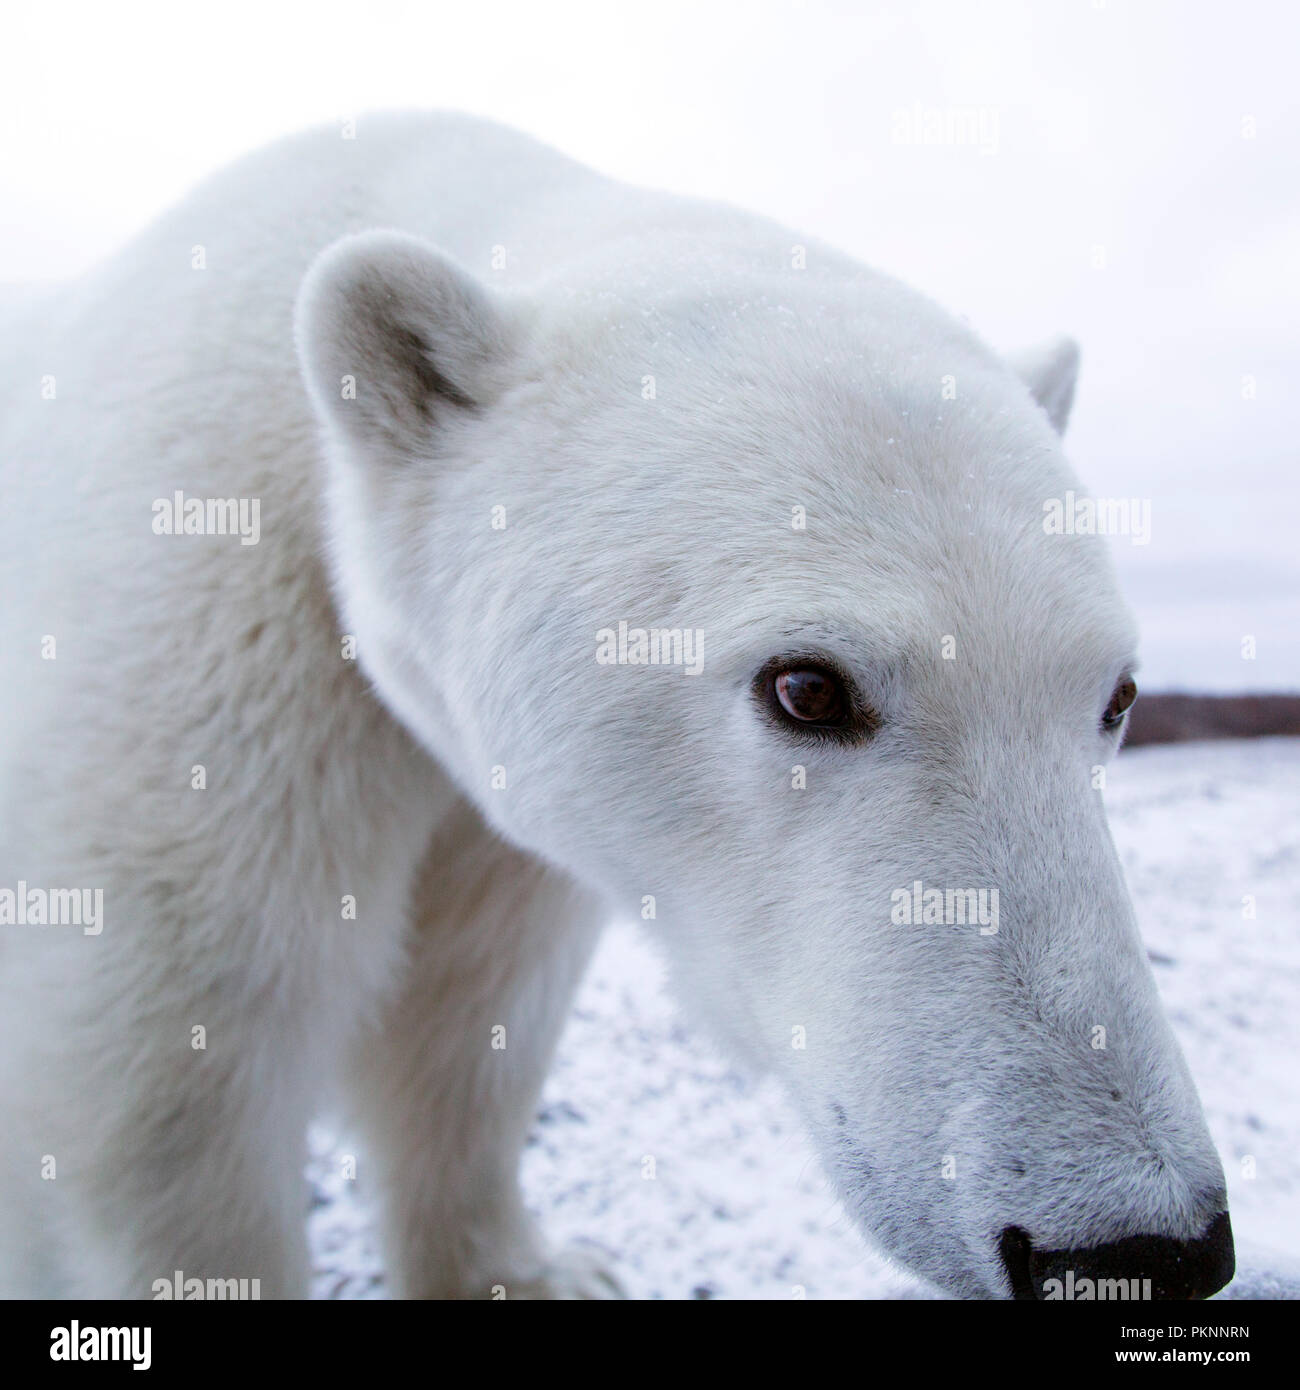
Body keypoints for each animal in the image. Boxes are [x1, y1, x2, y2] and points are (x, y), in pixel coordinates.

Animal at [0, 113, 1240, 1295]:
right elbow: (174, 1086)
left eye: (1117, 697)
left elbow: (467, 1014)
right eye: (806, 686)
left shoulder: (494, 824)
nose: (1138, 1249)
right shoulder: (206, 676)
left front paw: (528, 1273)